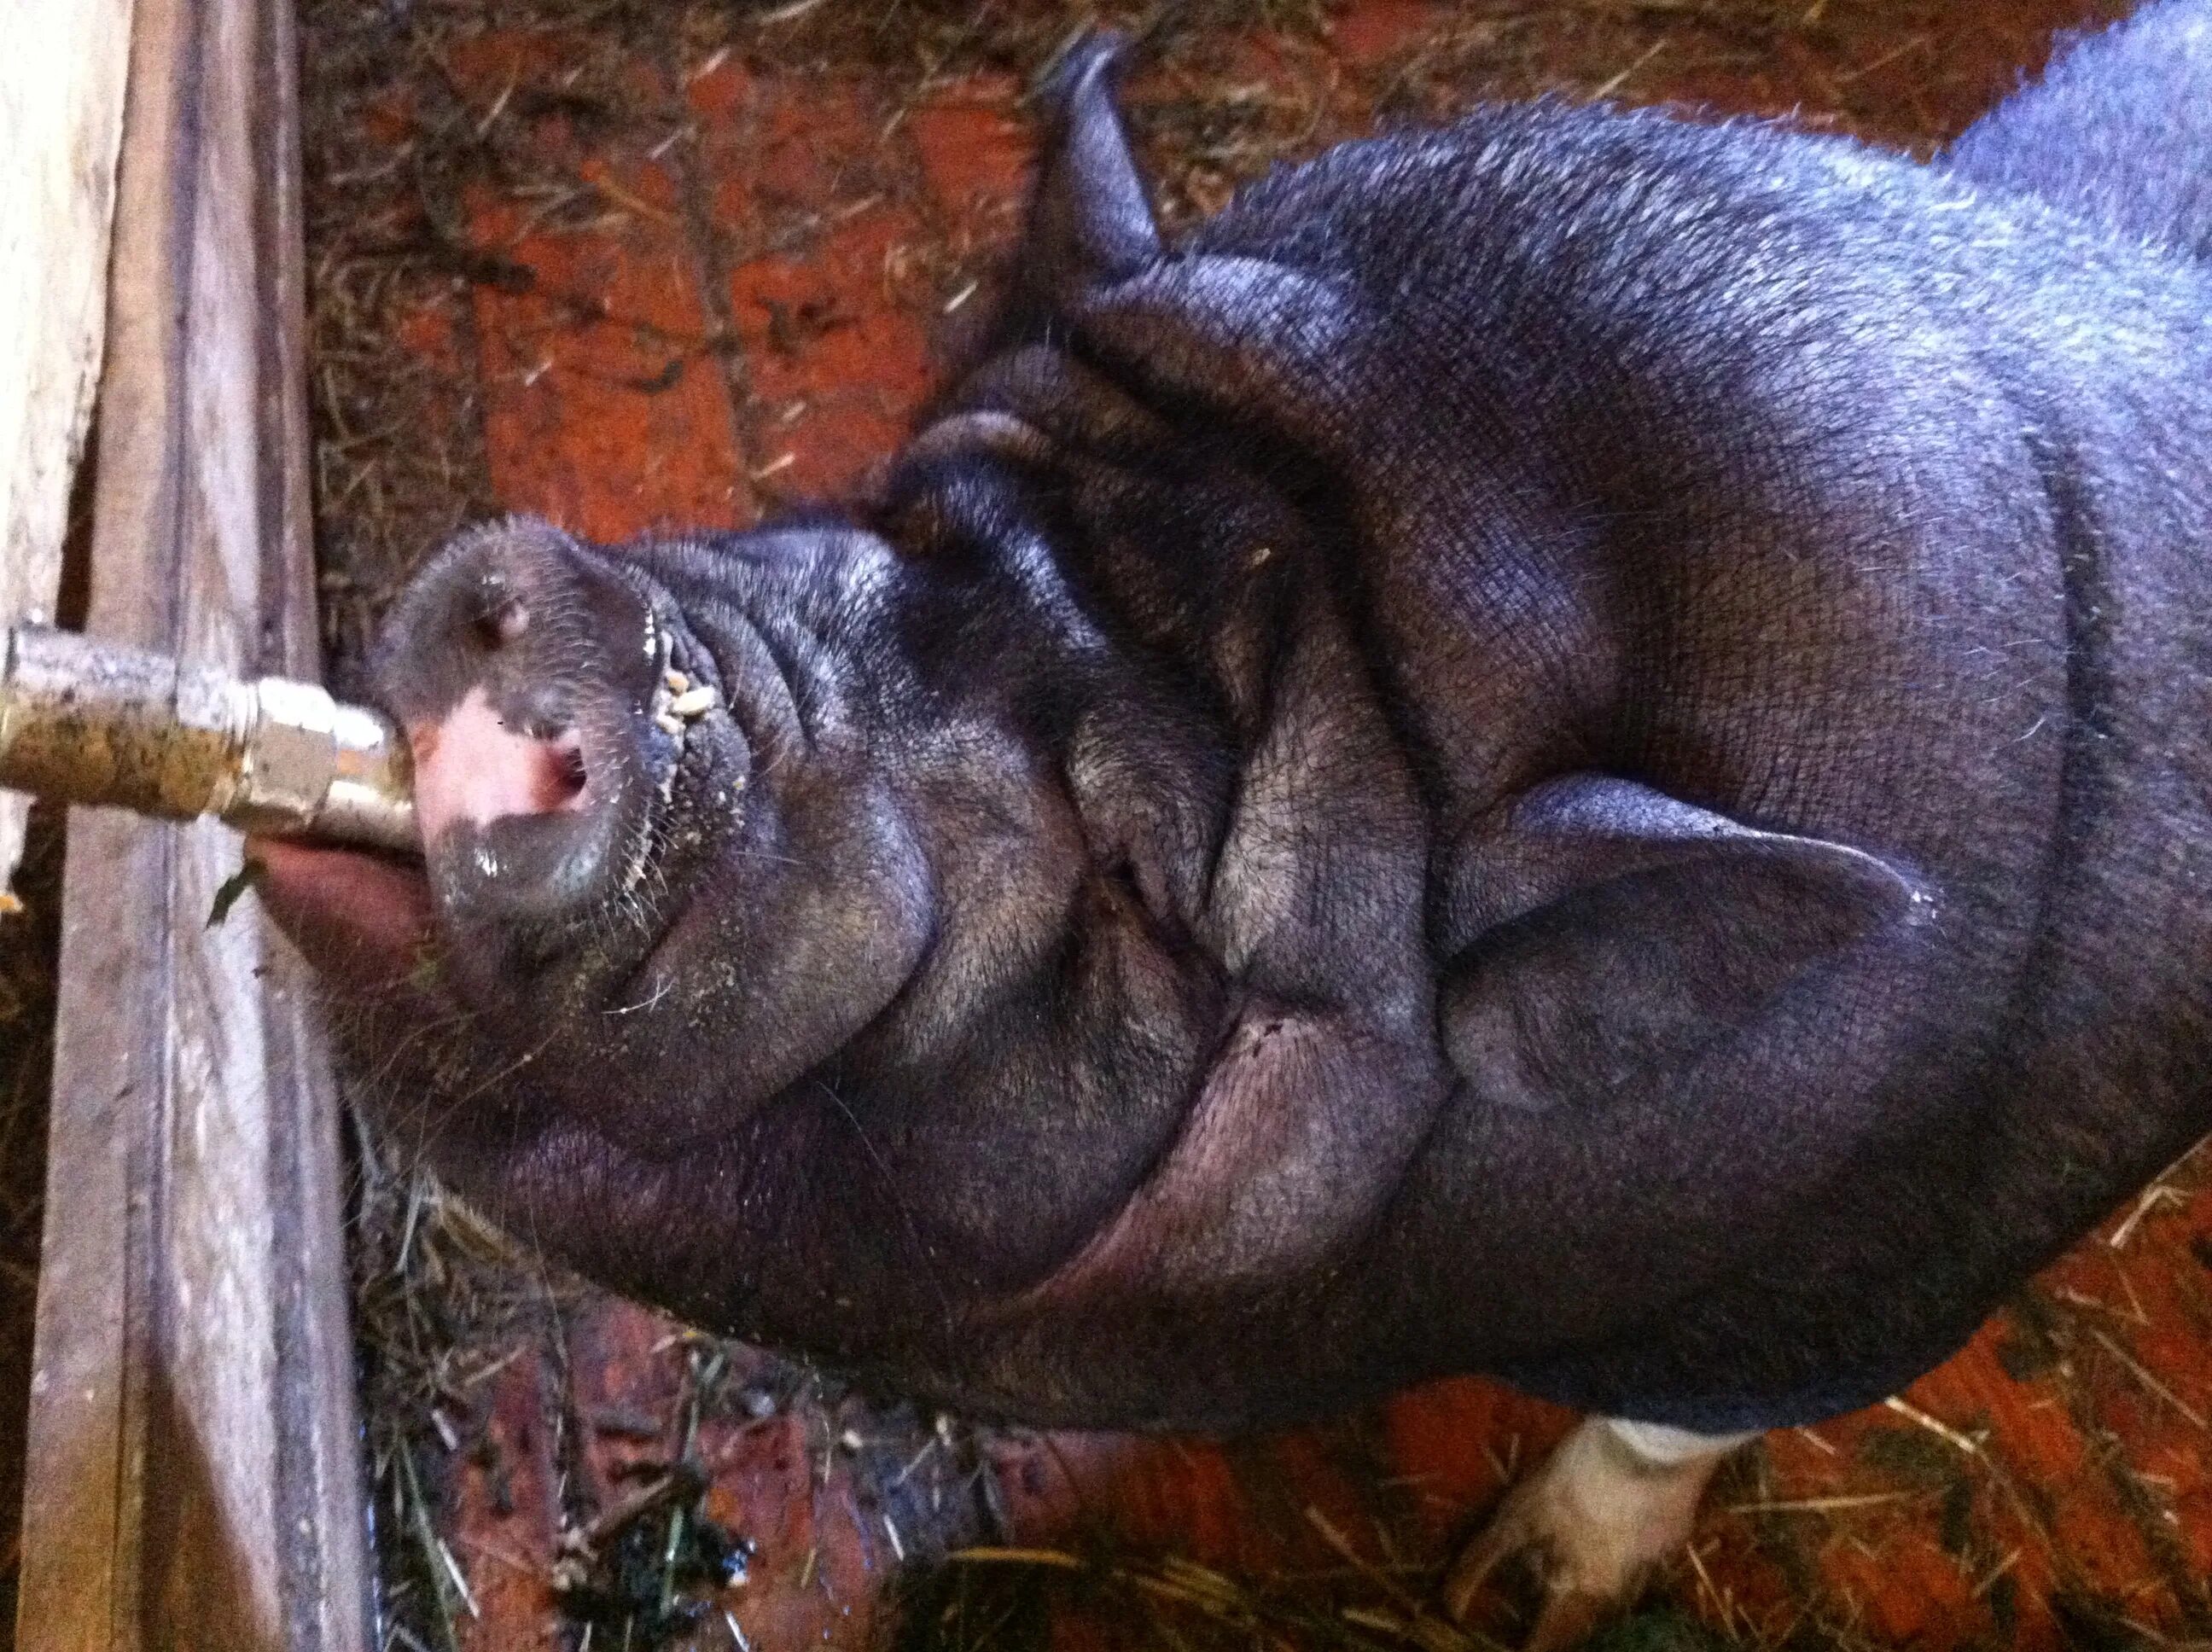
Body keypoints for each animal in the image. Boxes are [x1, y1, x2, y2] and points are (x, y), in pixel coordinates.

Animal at [267, 6, 2212, 1645]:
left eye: (1141, 894)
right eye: (902, 509)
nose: (579, 634)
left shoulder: (1865, 1289)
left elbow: (1659, 1430)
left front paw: (1508, 1599)